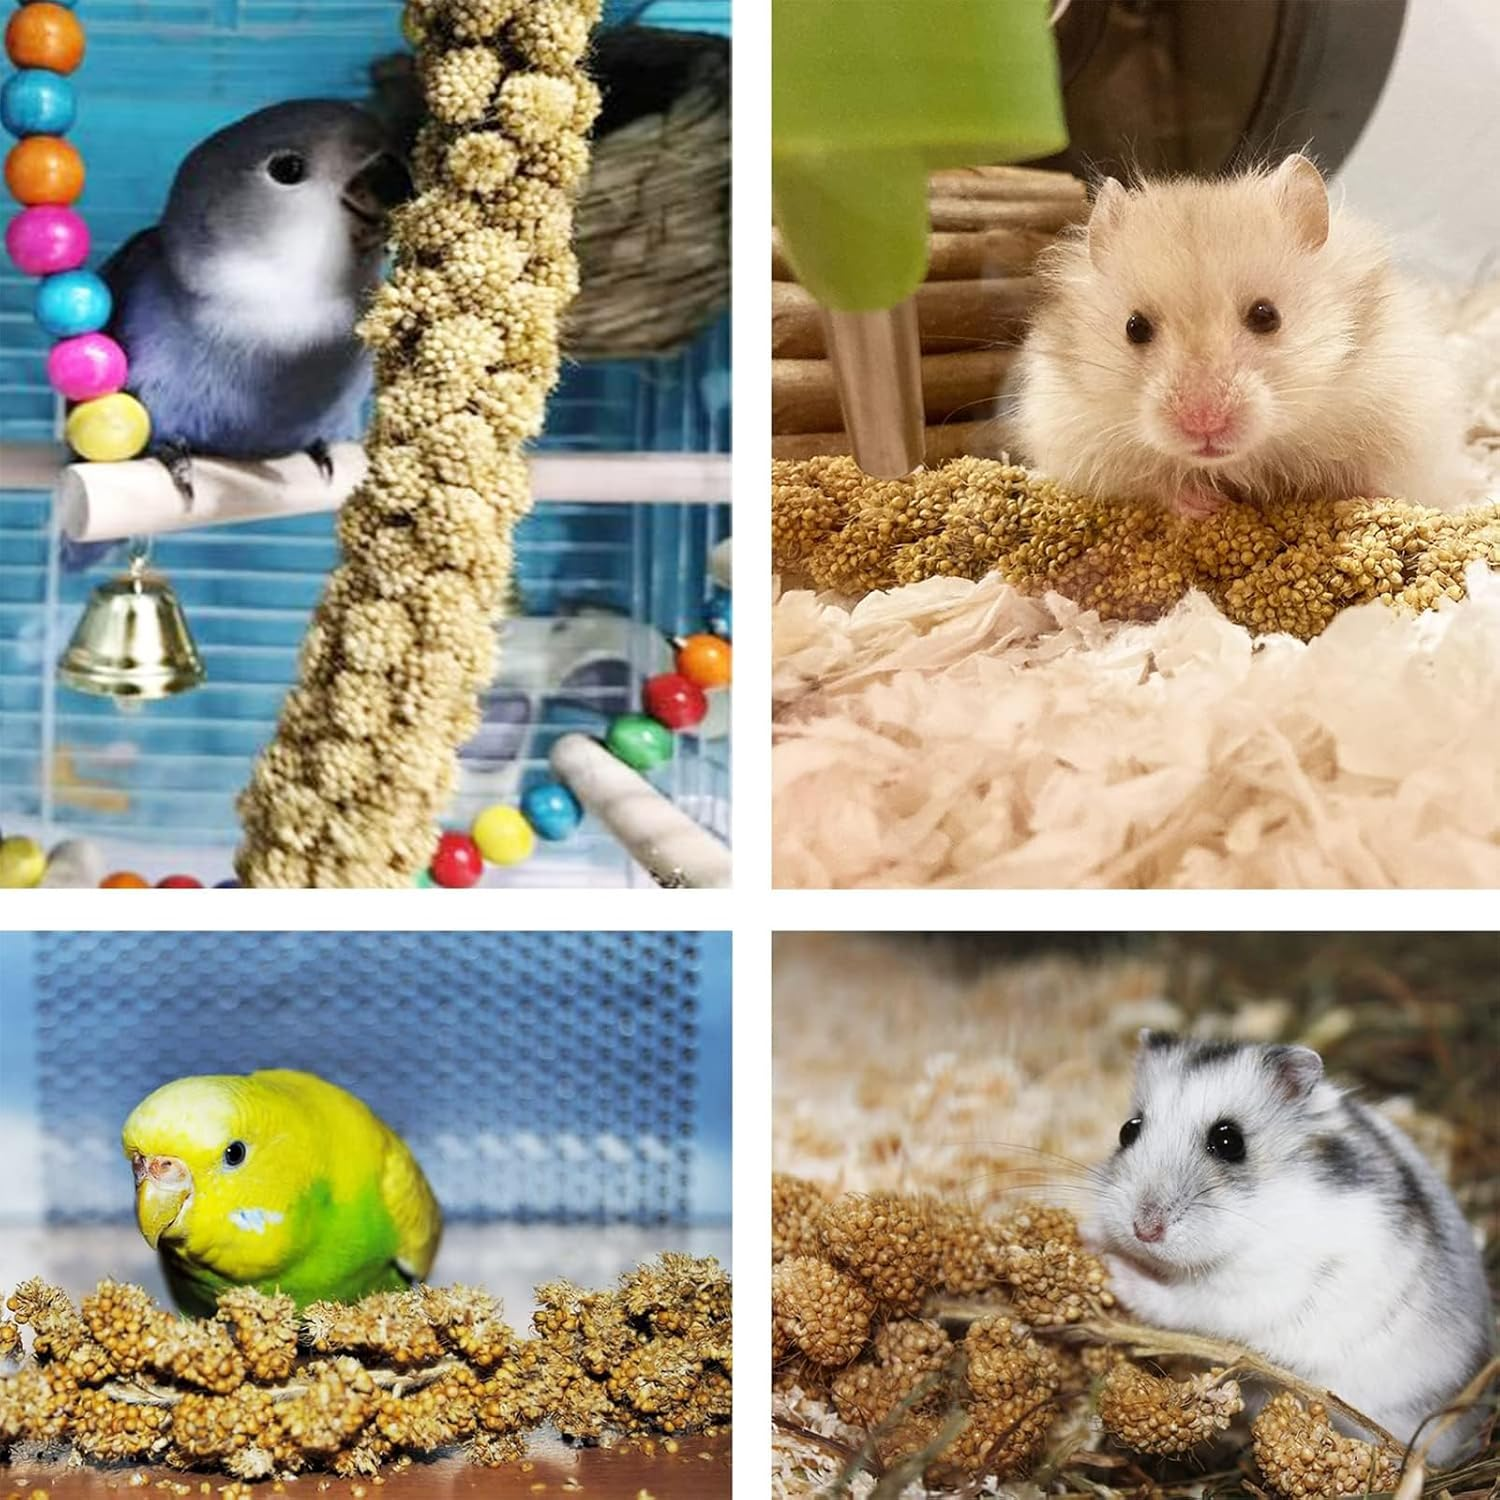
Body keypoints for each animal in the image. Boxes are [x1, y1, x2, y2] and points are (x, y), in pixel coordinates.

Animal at [1015, 156, 1468, 519]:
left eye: (1266, 316)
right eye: (1135, 327)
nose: (1203, 425)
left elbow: (1377, 475)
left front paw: (1370, 500)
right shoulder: (1080, 437)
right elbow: (1157, 482)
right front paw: (1205, 505)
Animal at [1088, 1032, 1493, 1465]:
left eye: (1229, 1141)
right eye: (1127, 1131)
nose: (1143, 1230)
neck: (1253, 1218)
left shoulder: (1250, 1293)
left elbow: (1177, 1302)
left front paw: (1115, 1268)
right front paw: (1091, 1236)